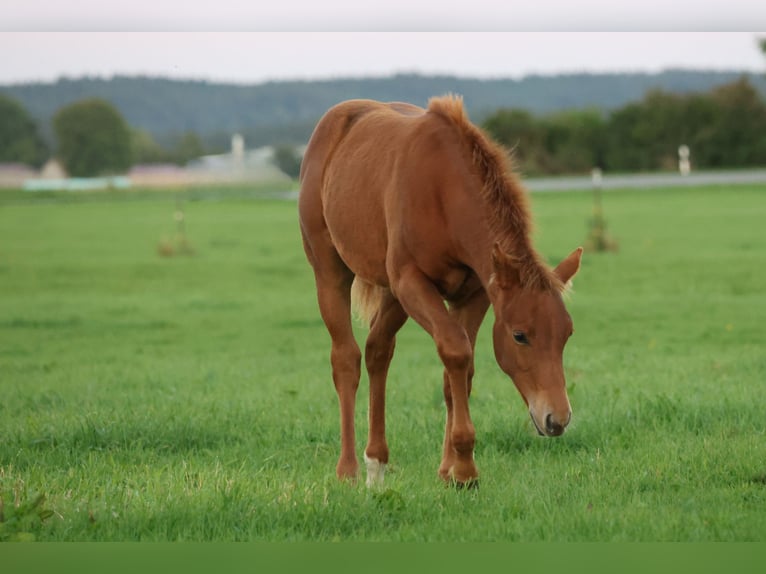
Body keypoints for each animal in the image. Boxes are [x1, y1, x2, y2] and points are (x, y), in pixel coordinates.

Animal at [298, 95, 582, 487]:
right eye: (520, 336)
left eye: (567, 334)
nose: (557, 419)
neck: (444, 192)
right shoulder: (411, 282)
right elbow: (455, 352)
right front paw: (464, 469)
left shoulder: (474, 294)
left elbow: (459, 370)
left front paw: (450, 470)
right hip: (331, 274)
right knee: (346, 360)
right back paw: (349, 469)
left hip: (393, 297)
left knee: (377, 352)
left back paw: (377, 462)